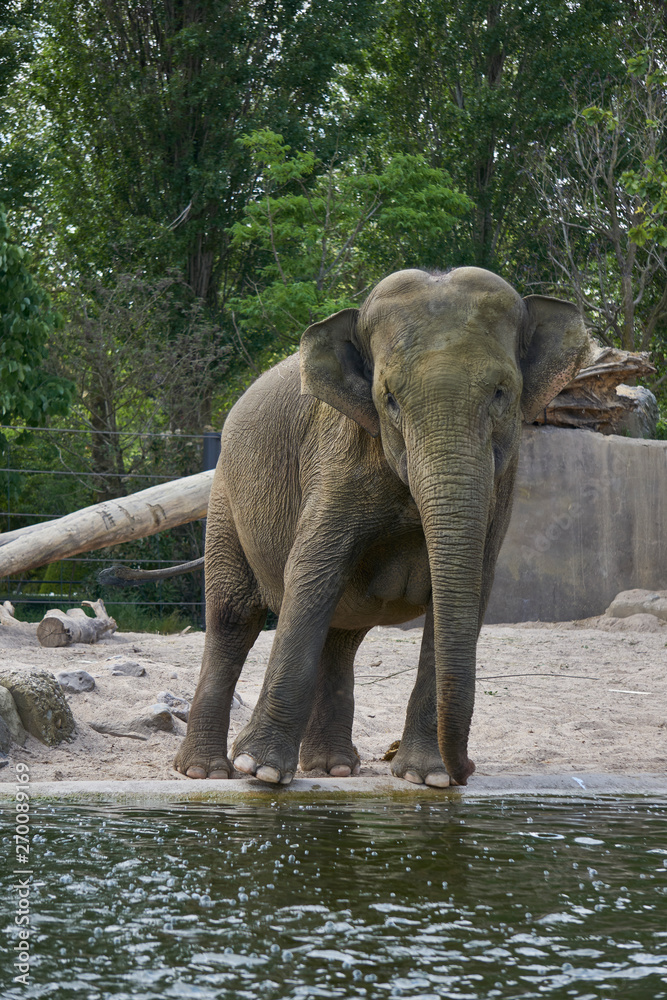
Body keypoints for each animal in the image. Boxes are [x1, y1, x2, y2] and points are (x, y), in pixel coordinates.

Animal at [174, 266, 589, 787]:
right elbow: (310, 575)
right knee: (233, 618)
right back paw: (205, 772)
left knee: (341, 634)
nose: (467, 769)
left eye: (501, 392)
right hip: (226, 497)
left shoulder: (505, 478)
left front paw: (428, 778)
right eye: (388, 397)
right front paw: (262, 771)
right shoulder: (335, 458)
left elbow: (471, 588)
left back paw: (333, 768)